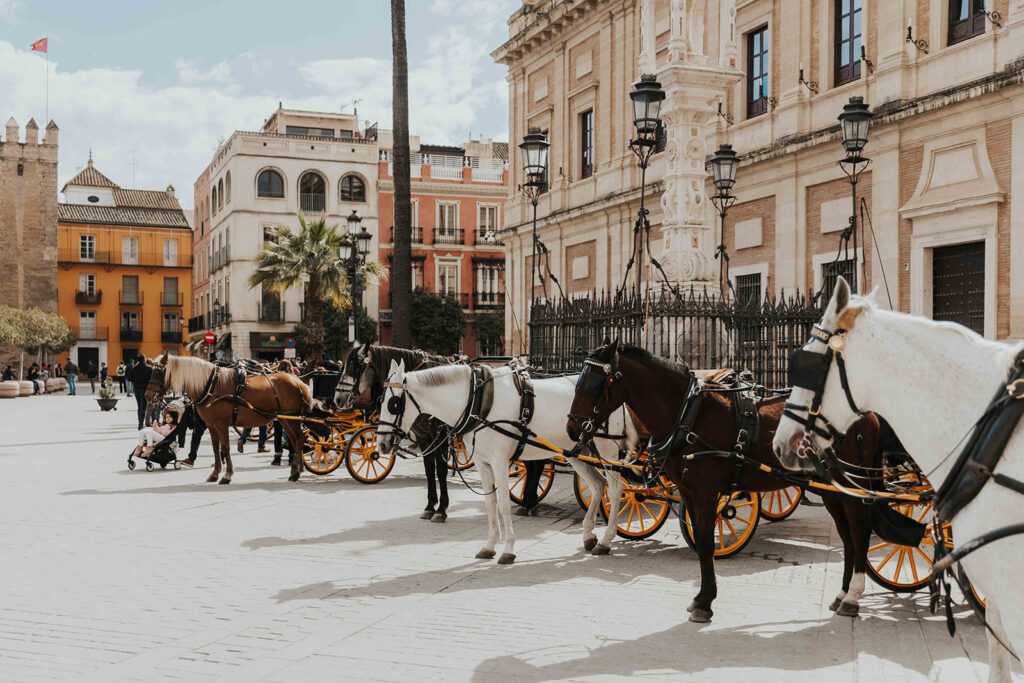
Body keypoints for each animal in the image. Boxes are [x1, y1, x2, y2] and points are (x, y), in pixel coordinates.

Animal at [146, 356, 309, 483]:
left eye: (160, 372)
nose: (148, 396)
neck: (211, 386)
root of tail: (297, 381)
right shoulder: (211, 425)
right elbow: (215, 448)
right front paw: (215, 473)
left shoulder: (221, 424)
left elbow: (225, 447)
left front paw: (227, 475)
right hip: (284, 419)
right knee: (294, 440)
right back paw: (295, 469)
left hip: (291, 419)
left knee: (299, 439)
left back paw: (297, 471)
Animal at [372, 360, 634, 565]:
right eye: (380, 400)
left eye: (393, 404)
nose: (382, 445)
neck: (477, 402)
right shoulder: (482, 463)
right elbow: (490, 504)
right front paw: (489, 546)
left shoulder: (499, 461)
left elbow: (504, 504)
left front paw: (508, 549)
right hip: (575, 452)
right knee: (598, 485)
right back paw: (590, 535)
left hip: (608, 451)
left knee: (615, 489)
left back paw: (606, 539)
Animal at [565, 342, 876, 626]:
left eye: (594, 385)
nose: (571, 428)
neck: (688, 413)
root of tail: (868, 412)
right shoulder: (689, 491)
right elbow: (702, 540)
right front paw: (702, 599)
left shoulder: (705, 491)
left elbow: (705, 542)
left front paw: (705, 603)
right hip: (831, 490)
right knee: (847, 537)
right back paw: (842, 595)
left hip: (851, 484)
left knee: (859, 532)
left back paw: (852, 596)